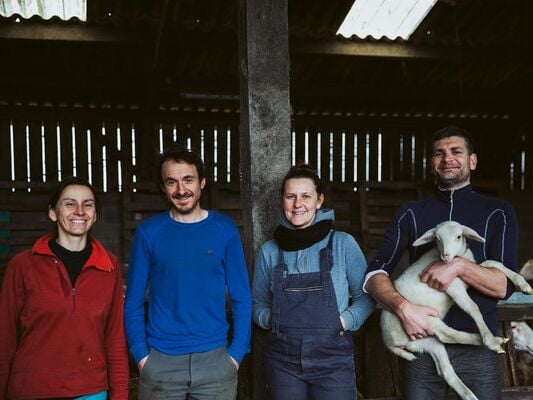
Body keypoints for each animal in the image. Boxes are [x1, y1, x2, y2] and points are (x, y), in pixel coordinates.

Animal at [380, 220, 532, 398]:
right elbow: (472, 307)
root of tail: (389, 343)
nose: (445, 255)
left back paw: (470, 394)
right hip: (424, 319)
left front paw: (524, 285)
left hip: (425, 342)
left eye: (459, 236)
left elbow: (493, 263)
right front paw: (488, 338)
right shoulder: (452, 285)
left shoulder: (470, 272)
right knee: (447, 335)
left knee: (446, 370)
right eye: (437, 238)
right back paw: (490, 340)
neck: (457, 259)